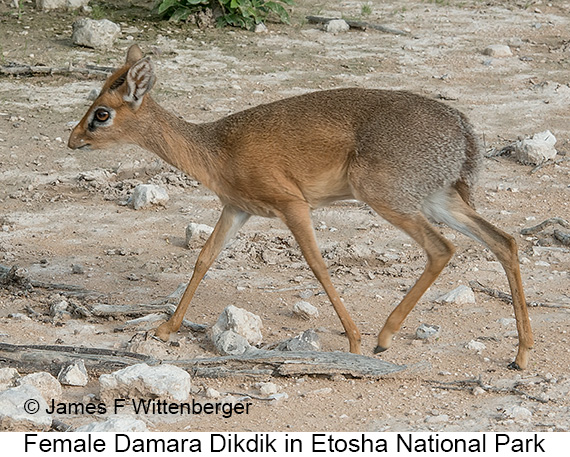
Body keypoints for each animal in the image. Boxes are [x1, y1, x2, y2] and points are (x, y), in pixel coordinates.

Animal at [69, 44, 532, 368]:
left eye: (101, 113)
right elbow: (204, 258)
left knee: (443, 249)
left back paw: (384, 337)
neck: (215, 149)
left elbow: (317, 265)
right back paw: (521, 355)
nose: (72, 139)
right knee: (504, 241)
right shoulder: (237, 209)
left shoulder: (292, 204)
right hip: (439, 199)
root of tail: (464, 130)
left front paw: (354, 339)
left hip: (389, 199)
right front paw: (166, 328)